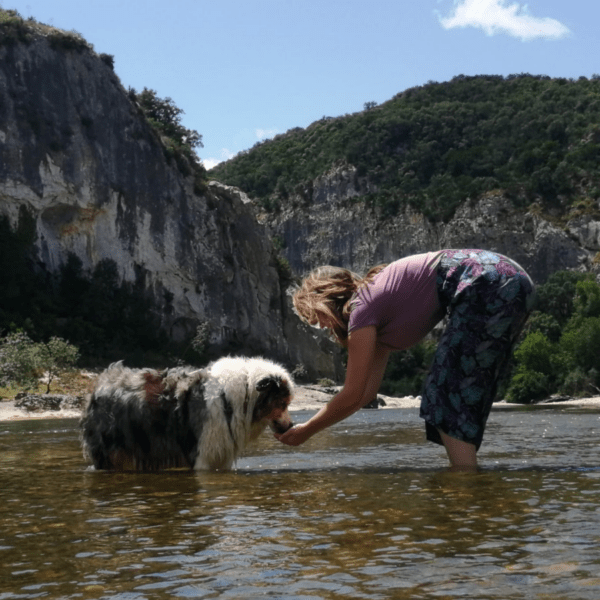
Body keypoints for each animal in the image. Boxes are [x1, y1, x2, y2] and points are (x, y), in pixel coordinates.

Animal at [79, 354, 296, 472]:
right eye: (282, 402)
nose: (290, 425)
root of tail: (99, 384)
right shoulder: (203, 455)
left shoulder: (221, 455)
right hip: (110, 451)